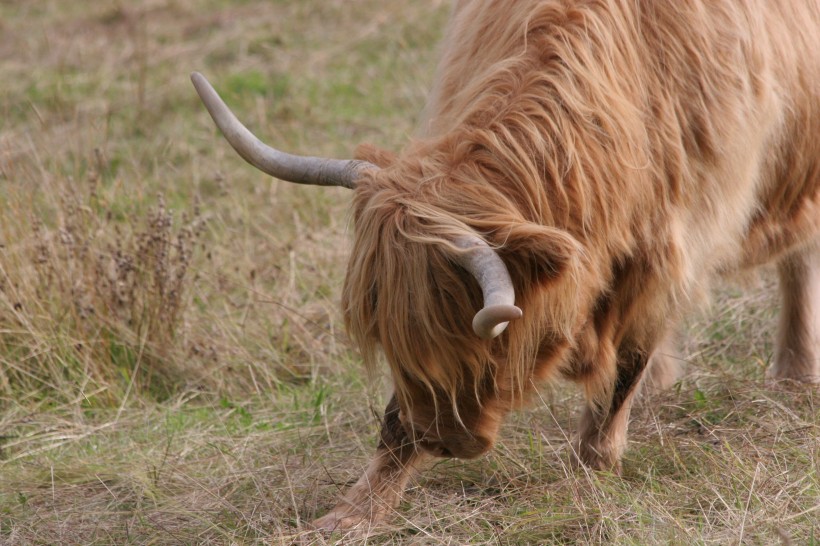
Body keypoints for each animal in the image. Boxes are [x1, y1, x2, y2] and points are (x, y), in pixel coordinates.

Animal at [189, 0, 816, 528]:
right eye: (391, 340)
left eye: (485, 347)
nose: (444, 440)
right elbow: (393, 419)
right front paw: (347, 517)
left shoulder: (669, 256)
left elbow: (622, 371)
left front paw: (587, 478)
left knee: (799, 260)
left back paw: (793, 374)